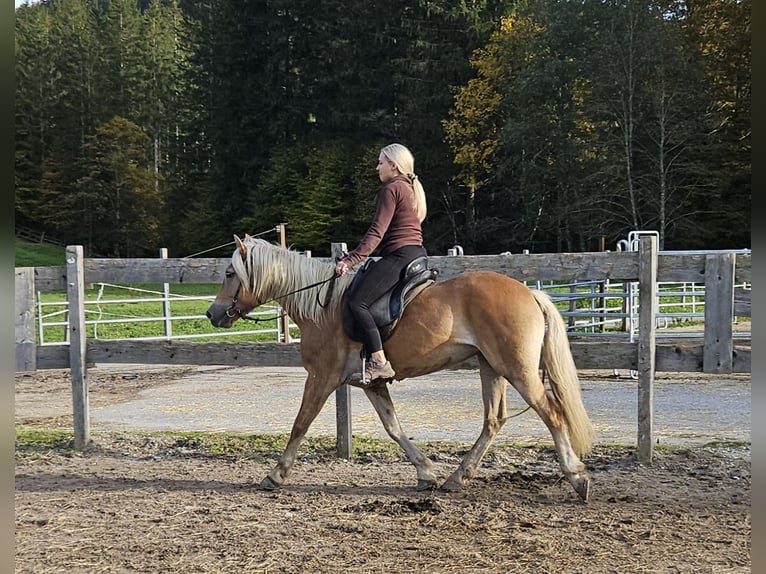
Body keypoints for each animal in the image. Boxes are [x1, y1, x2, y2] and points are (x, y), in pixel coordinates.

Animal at [207, 236, 596, 502]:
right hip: (492, 367)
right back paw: (457, 477)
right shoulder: (370, 384)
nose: (212, 313)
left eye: (229, 273)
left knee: (552, 414)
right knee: (493, 420)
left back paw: (576, 477)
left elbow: (300, 424)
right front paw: (426, 473)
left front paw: (275, 475)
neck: (324, 307)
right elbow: (393, 427)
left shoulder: (321, 377)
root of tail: (531, 293)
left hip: (518, 370)